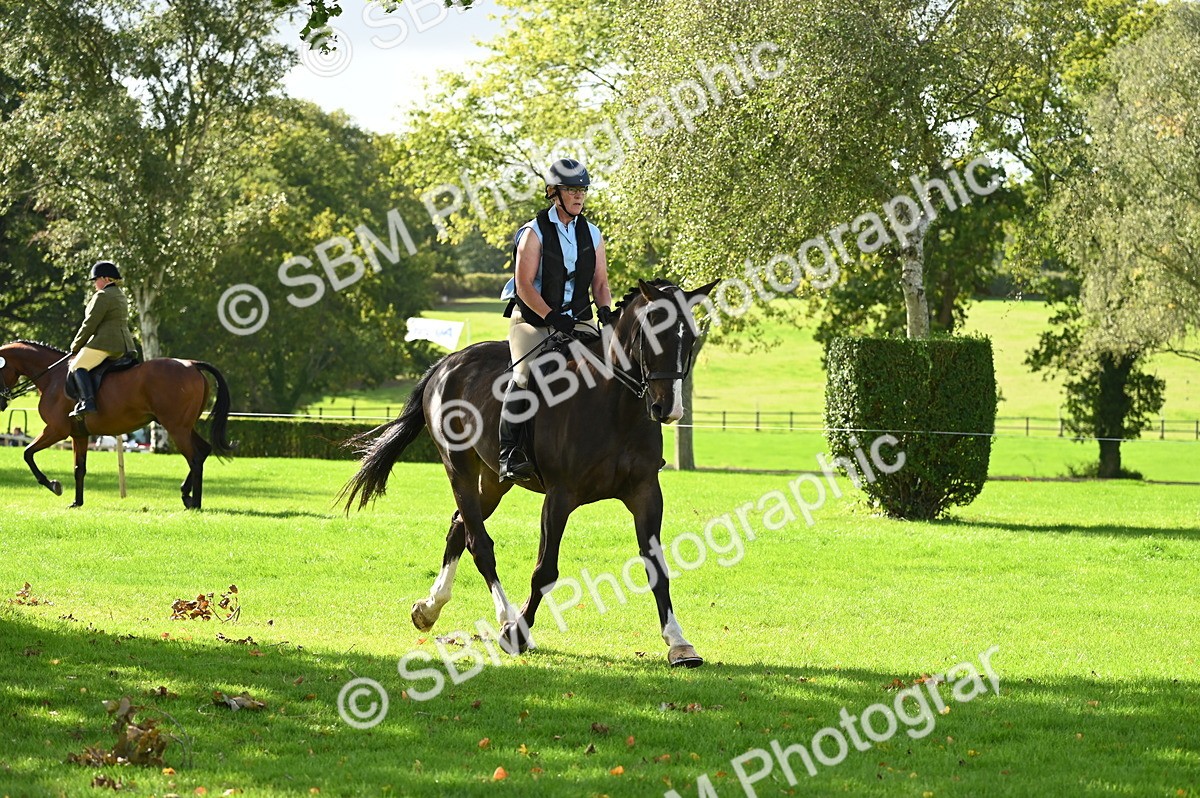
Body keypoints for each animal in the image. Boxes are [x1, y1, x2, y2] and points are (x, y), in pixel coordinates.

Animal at [0, 341, 235, 509]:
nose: (2, 402)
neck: (52, 376)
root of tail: (191, 364)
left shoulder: (56, 430)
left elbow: (28, 454)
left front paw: (53, 485)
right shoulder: (79, 435)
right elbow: (79, 468)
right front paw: (77, 502)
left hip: (176, 428)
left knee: (194, 458)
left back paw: (193, 501)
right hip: (184, 426)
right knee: (203, 451)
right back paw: (189, 497)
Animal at [341, 278, 718, 667]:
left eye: (691, 335)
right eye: (652, 332)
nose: (667, 408)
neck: (615, 406)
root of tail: (448, 363)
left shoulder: (645, 493)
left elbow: (657, 567)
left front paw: (679, 643)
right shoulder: (560, 496)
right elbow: (545, 569)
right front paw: (517, 632)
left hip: (493, 481)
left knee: (459, 526)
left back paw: (429, 609)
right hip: (458, 466)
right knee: (479, 542)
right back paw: (506, 619)